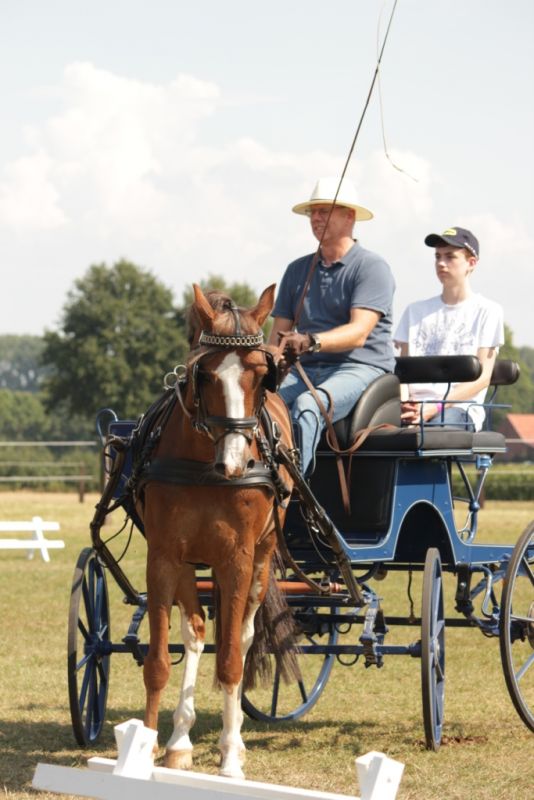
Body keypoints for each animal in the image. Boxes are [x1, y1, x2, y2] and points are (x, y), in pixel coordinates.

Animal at [135, 283, 296, 778]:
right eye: (202, 375)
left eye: (263, 377)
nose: (235, 462)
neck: (206, 467)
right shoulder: (164, 556)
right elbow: (158, 662)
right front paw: (143, 750)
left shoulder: (237, 558)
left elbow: (229, 662)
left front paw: (229, 760)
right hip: (190, 564)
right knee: (196, 631)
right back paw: (180, 740)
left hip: (262, 560)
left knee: (239, 639)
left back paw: (235, 740)